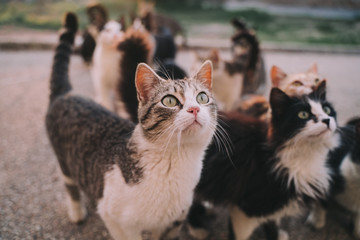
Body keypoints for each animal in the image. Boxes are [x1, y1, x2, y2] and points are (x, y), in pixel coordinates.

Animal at [46, 13, 218, 240]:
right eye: (169, 101)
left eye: (202, 97)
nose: (194, 109)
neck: (176, 160)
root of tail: (67, 94)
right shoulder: (116, 220)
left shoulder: (172, 222)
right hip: (63, 158)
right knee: (70, 184)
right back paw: (77, 211)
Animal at [188, 81, 340, 240]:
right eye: (303, 114)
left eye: (327, 109)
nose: (327, 120)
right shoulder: (245, 210)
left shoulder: (270, 206)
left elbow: (271, 223)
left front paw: (277, 235)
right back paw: (197, 228)